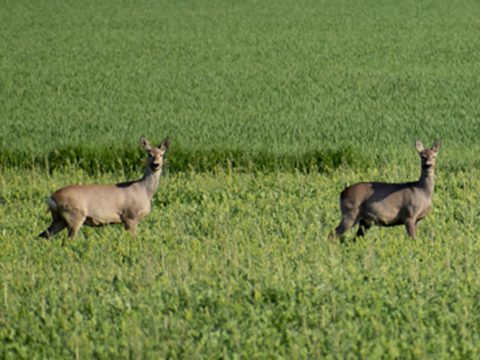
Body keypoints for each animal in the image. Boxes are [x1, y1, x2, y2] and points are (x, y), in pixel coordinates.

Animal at [39, 136, 171, 240]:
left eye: (161, 154)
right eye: (149, 154)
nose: (156, 164)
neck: (144, 191)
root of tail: (51, 198)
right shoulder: (130, 215)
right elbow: (133, 239)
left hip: (59, 219)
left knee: (43, 235)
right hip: (74, 216)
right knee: (67, 241)